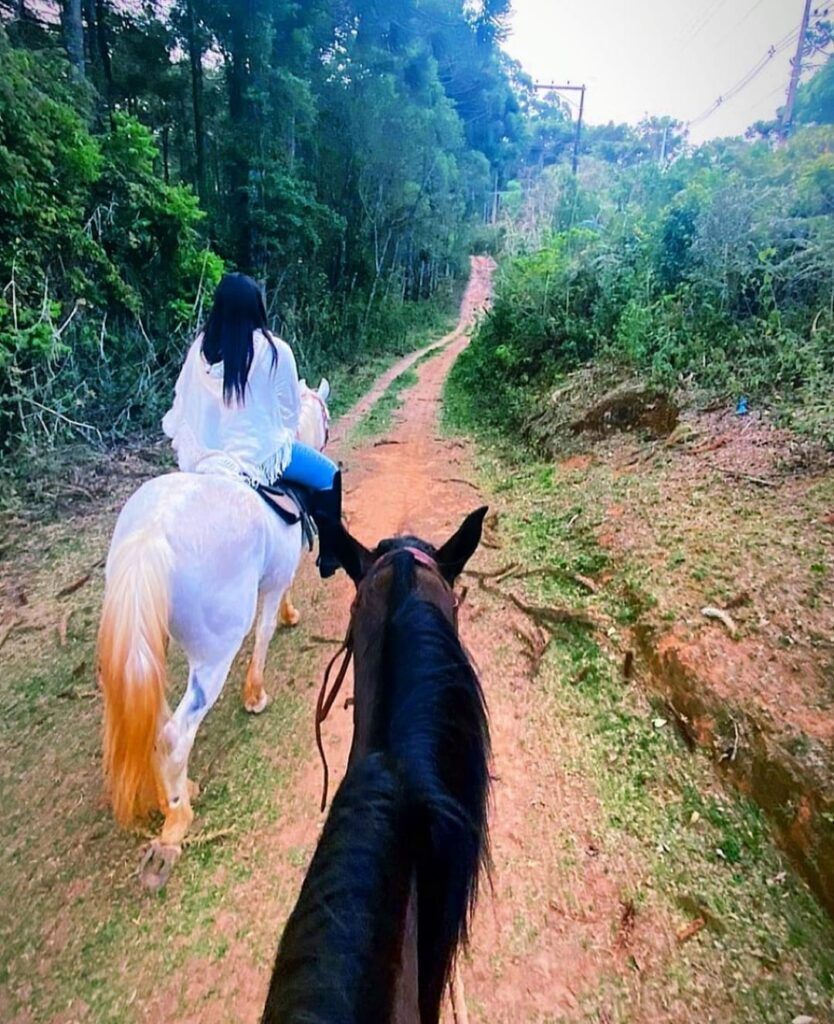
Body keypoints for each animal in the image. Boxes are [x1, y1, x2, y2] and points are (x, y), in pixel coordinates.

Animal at [98, 378, 330, 889]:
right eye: (325, 415)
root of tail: (151, 537)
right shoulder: (272, 582)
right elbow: (264, 630)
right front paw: (256, 693)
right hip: (213, 654)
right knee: (176, 733)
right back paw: (177, 819)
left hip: (147, 647)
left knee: (159, 722)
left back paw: (179, 789)